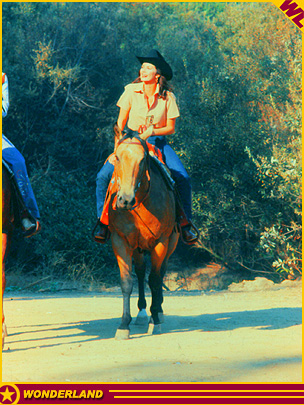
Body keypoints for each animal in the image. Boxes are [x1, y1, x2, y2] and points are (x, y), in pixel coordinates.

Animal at [107, 125, 179, 338]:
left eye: (142, 160)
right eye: (117, 157)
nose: (125, 200)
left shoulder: (161, 241)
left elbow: (154, 280)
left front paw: (155, 320)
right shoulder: (120, 241)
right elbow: (126, 282)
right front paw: (124, 325)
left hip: (171, 242)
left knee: (160, 272)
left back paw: (158, 312)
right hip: (137, 247)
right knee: (139, 272)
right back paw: (141, 313)